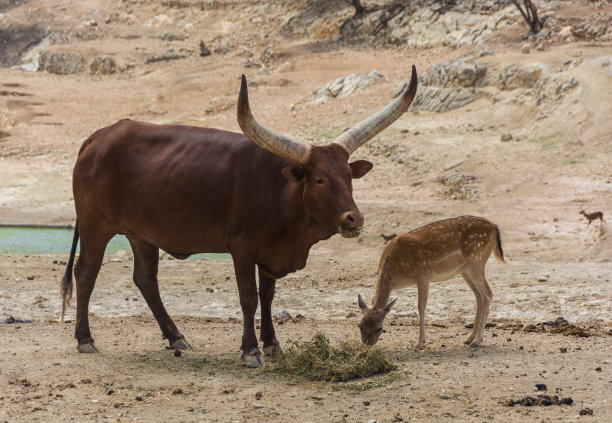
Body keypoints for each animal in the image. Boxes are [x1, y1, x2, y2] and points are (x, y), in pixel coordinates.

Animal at [59, 66, 418, 368]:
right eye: (319, 179)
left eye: (348, 176)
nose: (354, 219)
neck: (282, 192)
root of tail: (100, 136)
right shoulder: (242, 249)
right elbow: (249, 298)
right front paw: (251, 351)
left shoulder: (271, 253)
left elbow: (268, 297)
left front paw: (273, 345)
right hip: (95, 226)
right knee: (86, 273)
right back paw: (85, 339)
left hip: (142, 233)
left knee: (145, 279)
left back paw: (176, 336)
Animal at [356, 217, 504, 350]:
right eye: (359, 325)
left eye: (379, 328)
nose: (366, 347)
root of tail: (494, 227)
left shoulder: (422, 276)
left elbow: (421, 307)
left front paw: (419, 342)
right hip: (465, 271)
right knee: (478, 296)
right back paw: (469, 339)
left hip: (476, 263)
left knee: (488, 294)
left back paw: (477, 341)